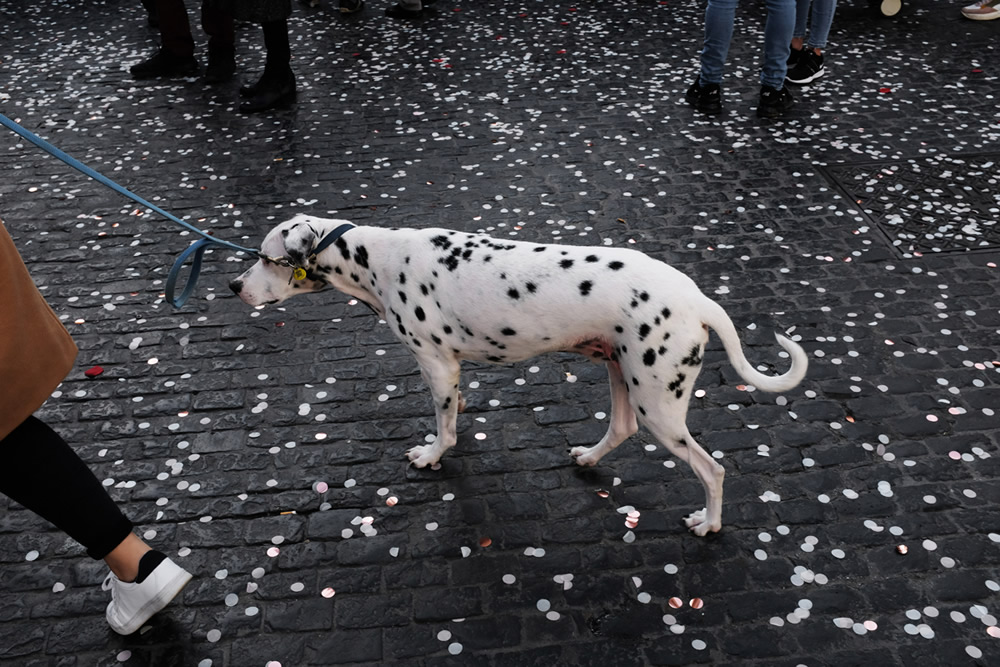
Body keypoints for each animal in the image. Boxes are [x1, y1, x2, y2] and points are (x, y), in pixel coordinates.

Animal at [230, 215, 808, 536]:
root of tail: (699, 299)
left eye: (265, 257)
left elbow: (444, 428)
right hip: (623, 376)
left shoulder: (435, 361)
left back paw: (709, 524)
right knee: (621, 429)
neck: (378, 259)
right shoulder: (450, 370)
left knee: (712, 470)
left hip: (659, 403)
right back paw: (590, 457)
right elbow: (455, 406)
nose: (235, 286)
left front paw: (433, 455)